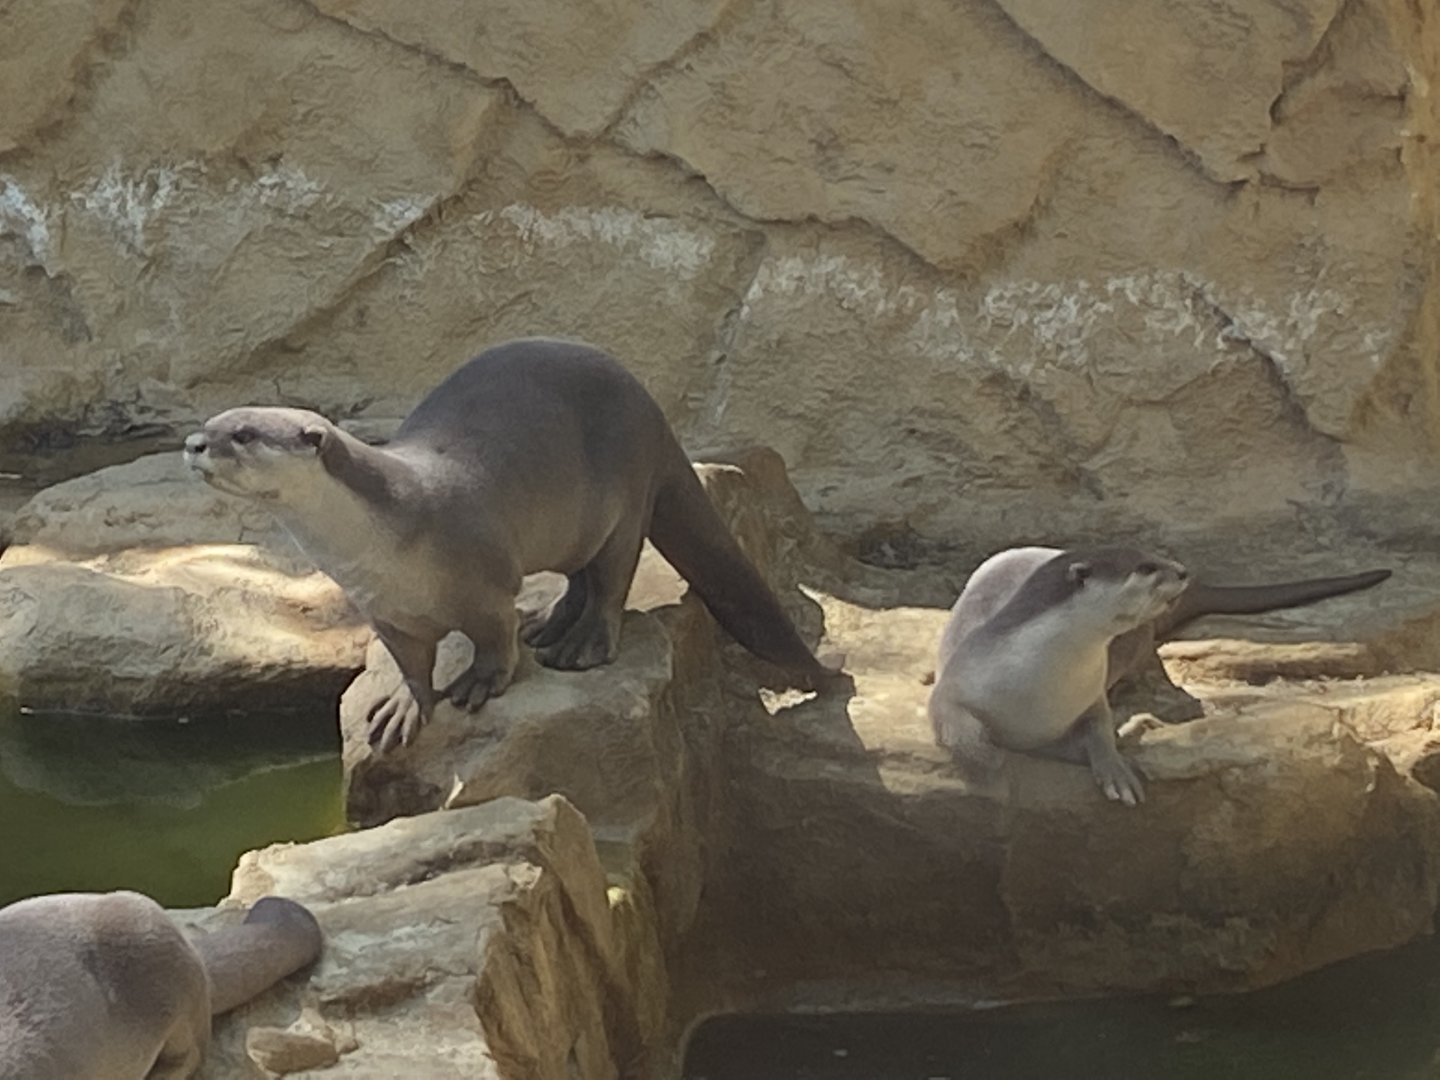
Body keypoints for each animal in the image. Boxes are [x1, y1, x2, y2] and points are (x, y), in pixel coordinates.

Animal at [185, 338, 840, 754]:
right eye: (213, 422)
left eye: (243, 434)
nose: (193, 443)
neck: (386, 546)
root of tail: (655, 412)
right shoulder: (385, 612)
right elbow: (411, 664)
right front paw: (402, 706)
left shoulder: (485, 580)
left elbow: (495, 637)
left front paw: (480, 682)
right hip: (573, 524)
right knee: (579, 576)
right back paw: (549, 624)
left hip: (627, 491)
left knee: (612, 579)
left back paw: (580, 644)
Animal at [928, 546, 1389, 805]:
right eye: (1145, 568)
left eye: (1152, 555)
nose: (1182, 570)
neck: (1041, 681)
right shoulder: (963, 680)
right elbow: (955, 722)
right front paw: (988, 770)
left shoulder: (1088, 697)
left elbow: (1098, 730)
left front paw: (1118, 764)